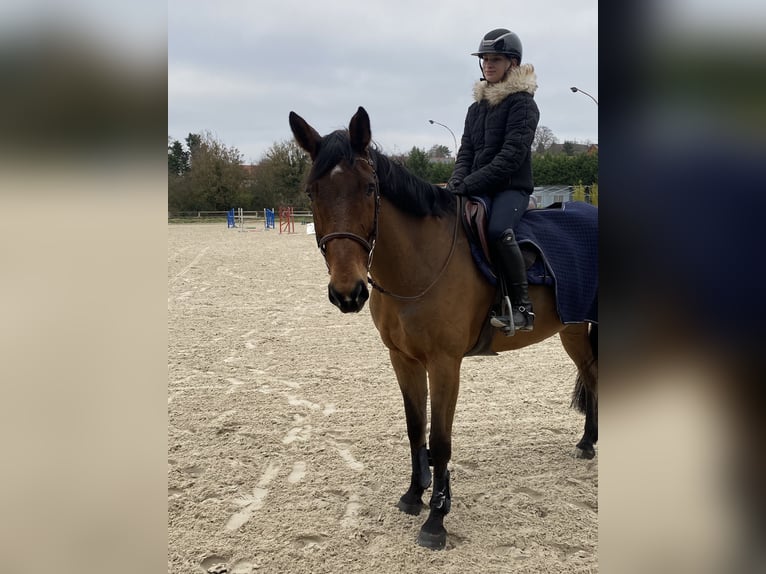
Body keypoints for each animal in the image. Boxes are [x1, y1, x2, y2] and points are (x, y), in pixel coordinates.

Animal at [288, 106, 598, 550]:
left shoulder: (445, 364)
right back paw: (588, 442)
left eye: (369, 188)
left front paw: (436, 518)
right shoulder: (403, 360)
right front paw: (414, 494)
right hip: (572, 327)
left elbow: (440, 439)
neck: (418, 265)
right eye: (313, 192)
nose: (348, 292)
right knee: (591, 374)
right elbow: (415, 427)